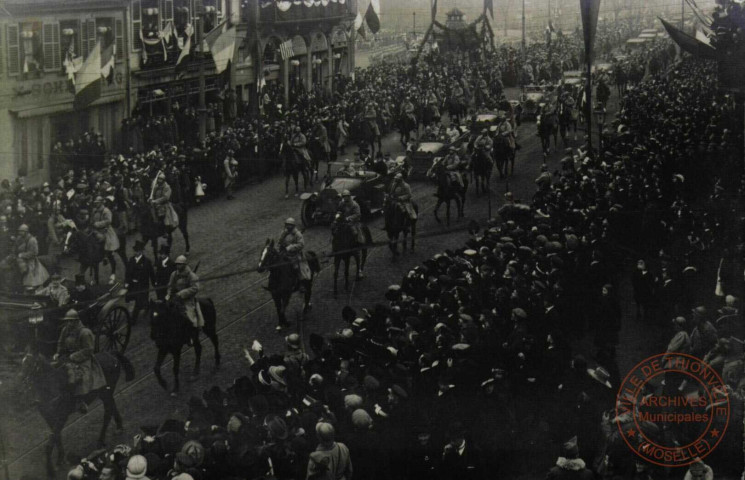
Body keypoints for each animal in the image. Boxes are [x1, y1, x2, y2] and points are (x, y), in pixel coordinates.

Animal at [19, 348, 134, 476]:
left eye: (31, 363)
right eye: (22, 363)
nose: (21, 378)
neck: (52, 387)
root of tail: (110, 354)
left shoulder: (62, 417)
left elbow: (50, 442)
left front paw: (50, 470)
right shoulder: (49, 419)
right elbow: (56, 437)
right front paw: (60, 459)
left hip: (105, 393)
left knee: (108, 413)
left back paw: (100, 441)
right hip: (106, 393)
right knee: (112, 407)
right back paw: (119, 427)